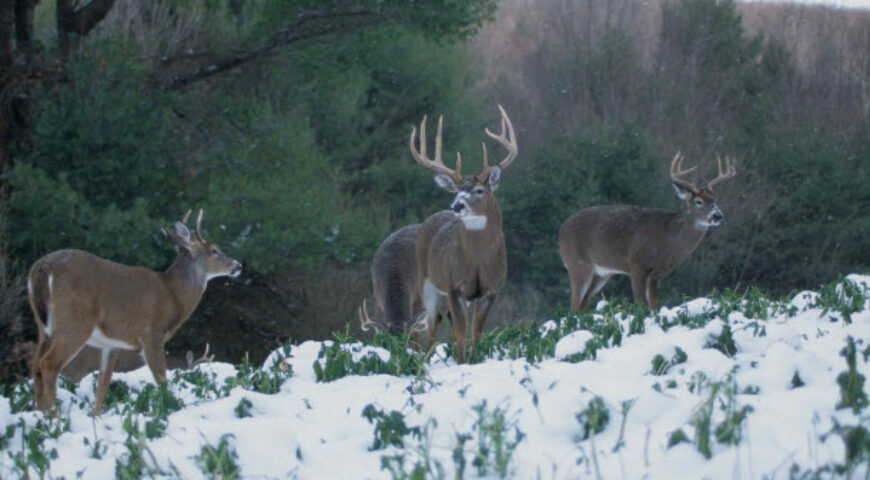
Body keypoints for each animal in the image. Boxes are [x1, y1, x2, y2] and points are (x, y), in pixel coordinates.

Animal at [26, 210, 242, 416]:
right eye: (215, 250)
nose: (238, 265)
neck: (174, 295)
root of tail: (43, 268)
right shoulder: (151, 332)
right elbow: (161, 379)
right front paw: (170, 408)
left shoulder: (112, 342)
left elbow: (104, 381)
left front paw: (96, 416)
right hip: (75, 322)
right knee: (49, 364)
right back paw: (54, 417)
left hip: (43, 327)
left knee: (35, 366)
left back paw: (39, 414)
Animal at [408, 104, 516, 360]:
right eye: (456, 191)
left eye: (479, 190)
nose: (456, 205)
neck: (477, 260)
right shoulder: (454, 285)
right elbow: (459, 330)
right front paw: (460, 361)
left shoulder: (490, 289)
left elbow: (475, 330)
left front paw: (475, 359)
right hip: (425, 280)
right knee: (429, 323)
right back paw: (424, 359)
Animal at [564, 154, 740, 312]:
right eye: (699, 201)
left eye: (714, 199)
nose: (718, 216)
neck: (667, 240)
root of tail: (562, 229)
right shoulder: (636, 264)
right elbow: (640, 304)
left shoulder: (658, 273)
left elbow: (654, 306)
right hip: (578, 263)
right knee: (574, 305)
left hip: (602, 272)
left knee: (584, 304)